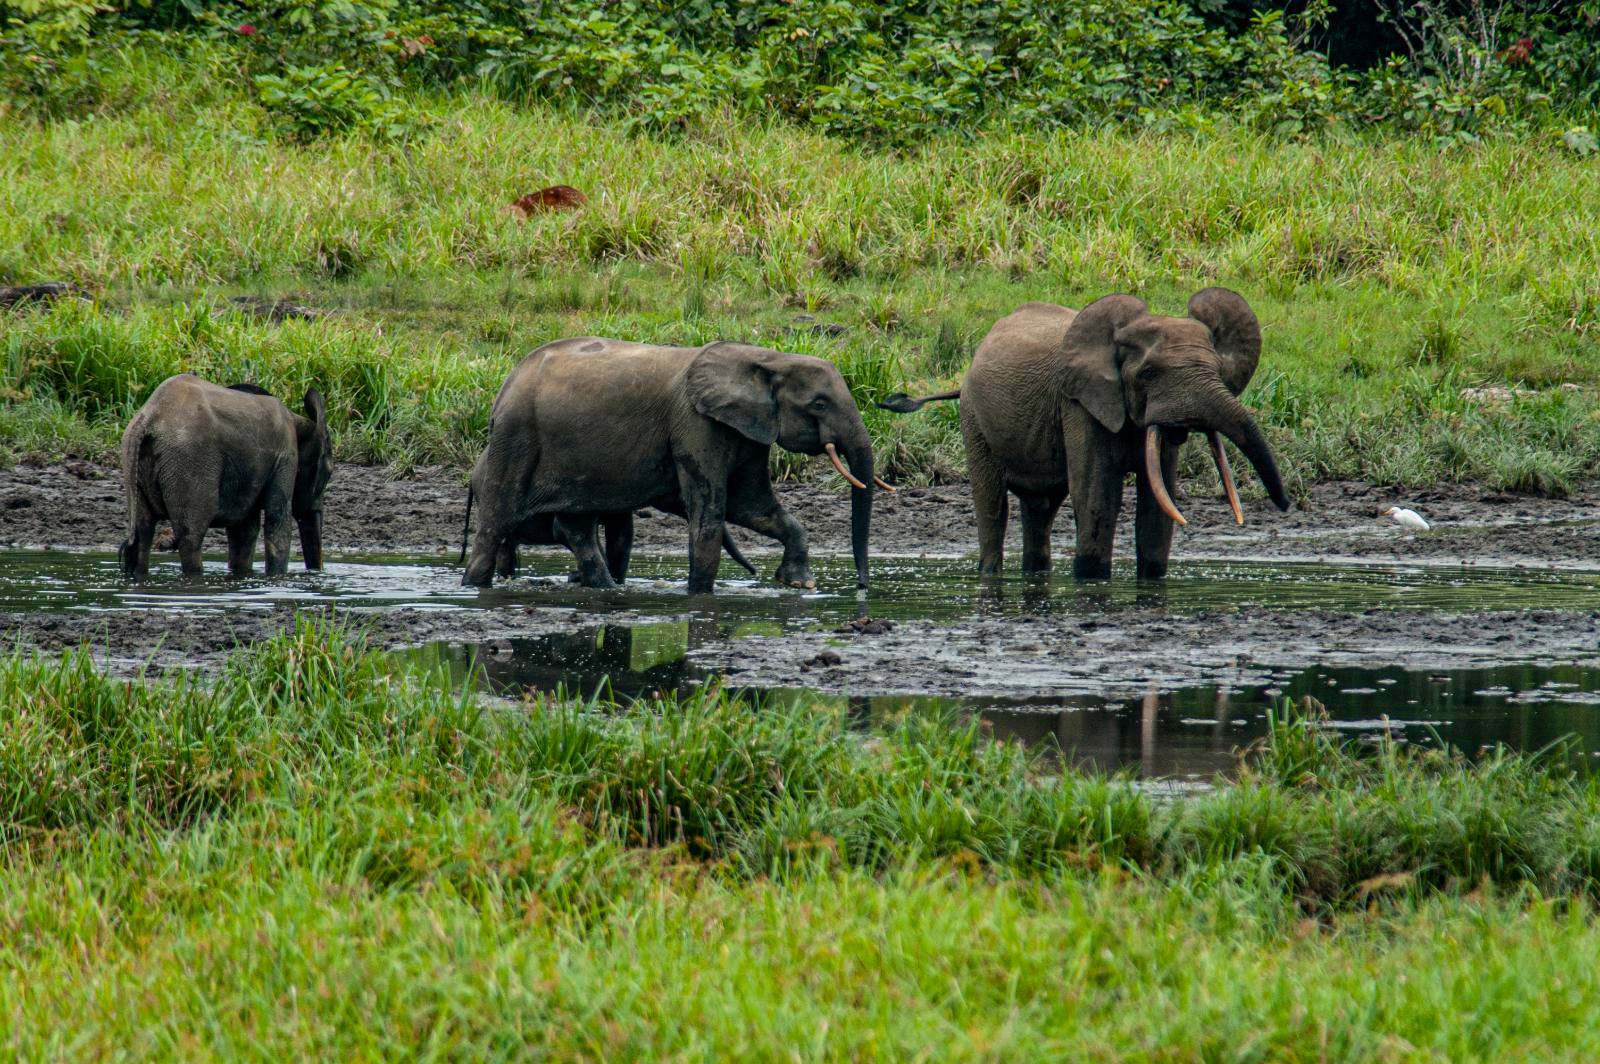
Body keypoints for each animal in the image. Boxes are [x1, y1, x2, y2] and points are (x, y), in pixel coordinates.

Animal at [119, 375, 333, 578]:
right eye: (329, 473)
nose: (317, 572)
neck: (300, 421)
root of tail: (148, 419)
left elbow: (244, 531)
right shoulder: (286, 454)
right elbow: (277, 522)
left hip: (134, 463)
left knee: (143, 534)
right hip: (189, 463)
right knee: (190, 538)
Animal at [461, 337, 888, 593]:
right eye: (819, 403)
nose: (863, 588)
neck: (765, 357)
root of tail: (507, 383)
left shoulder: (749, 430)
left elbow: (753, 507)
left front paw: (798, 584)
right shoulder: (696, 424)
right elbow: (712, 508)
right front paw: (699, 594)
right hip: (516, 437)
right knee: (495, 523)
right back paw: (473, 586)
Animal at [881, 288, 1290, 579]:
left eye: (1218, 370)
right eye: (1148, 374)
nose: (1285, 505)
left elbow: (1158, 504)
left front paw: (1152, 578)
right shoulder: (1078, 403)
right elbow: (1097, 497)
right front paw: (1091, 578)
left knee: (1040, 509)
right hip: (973, 417)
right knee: (993, 504)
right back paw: (990, 571)